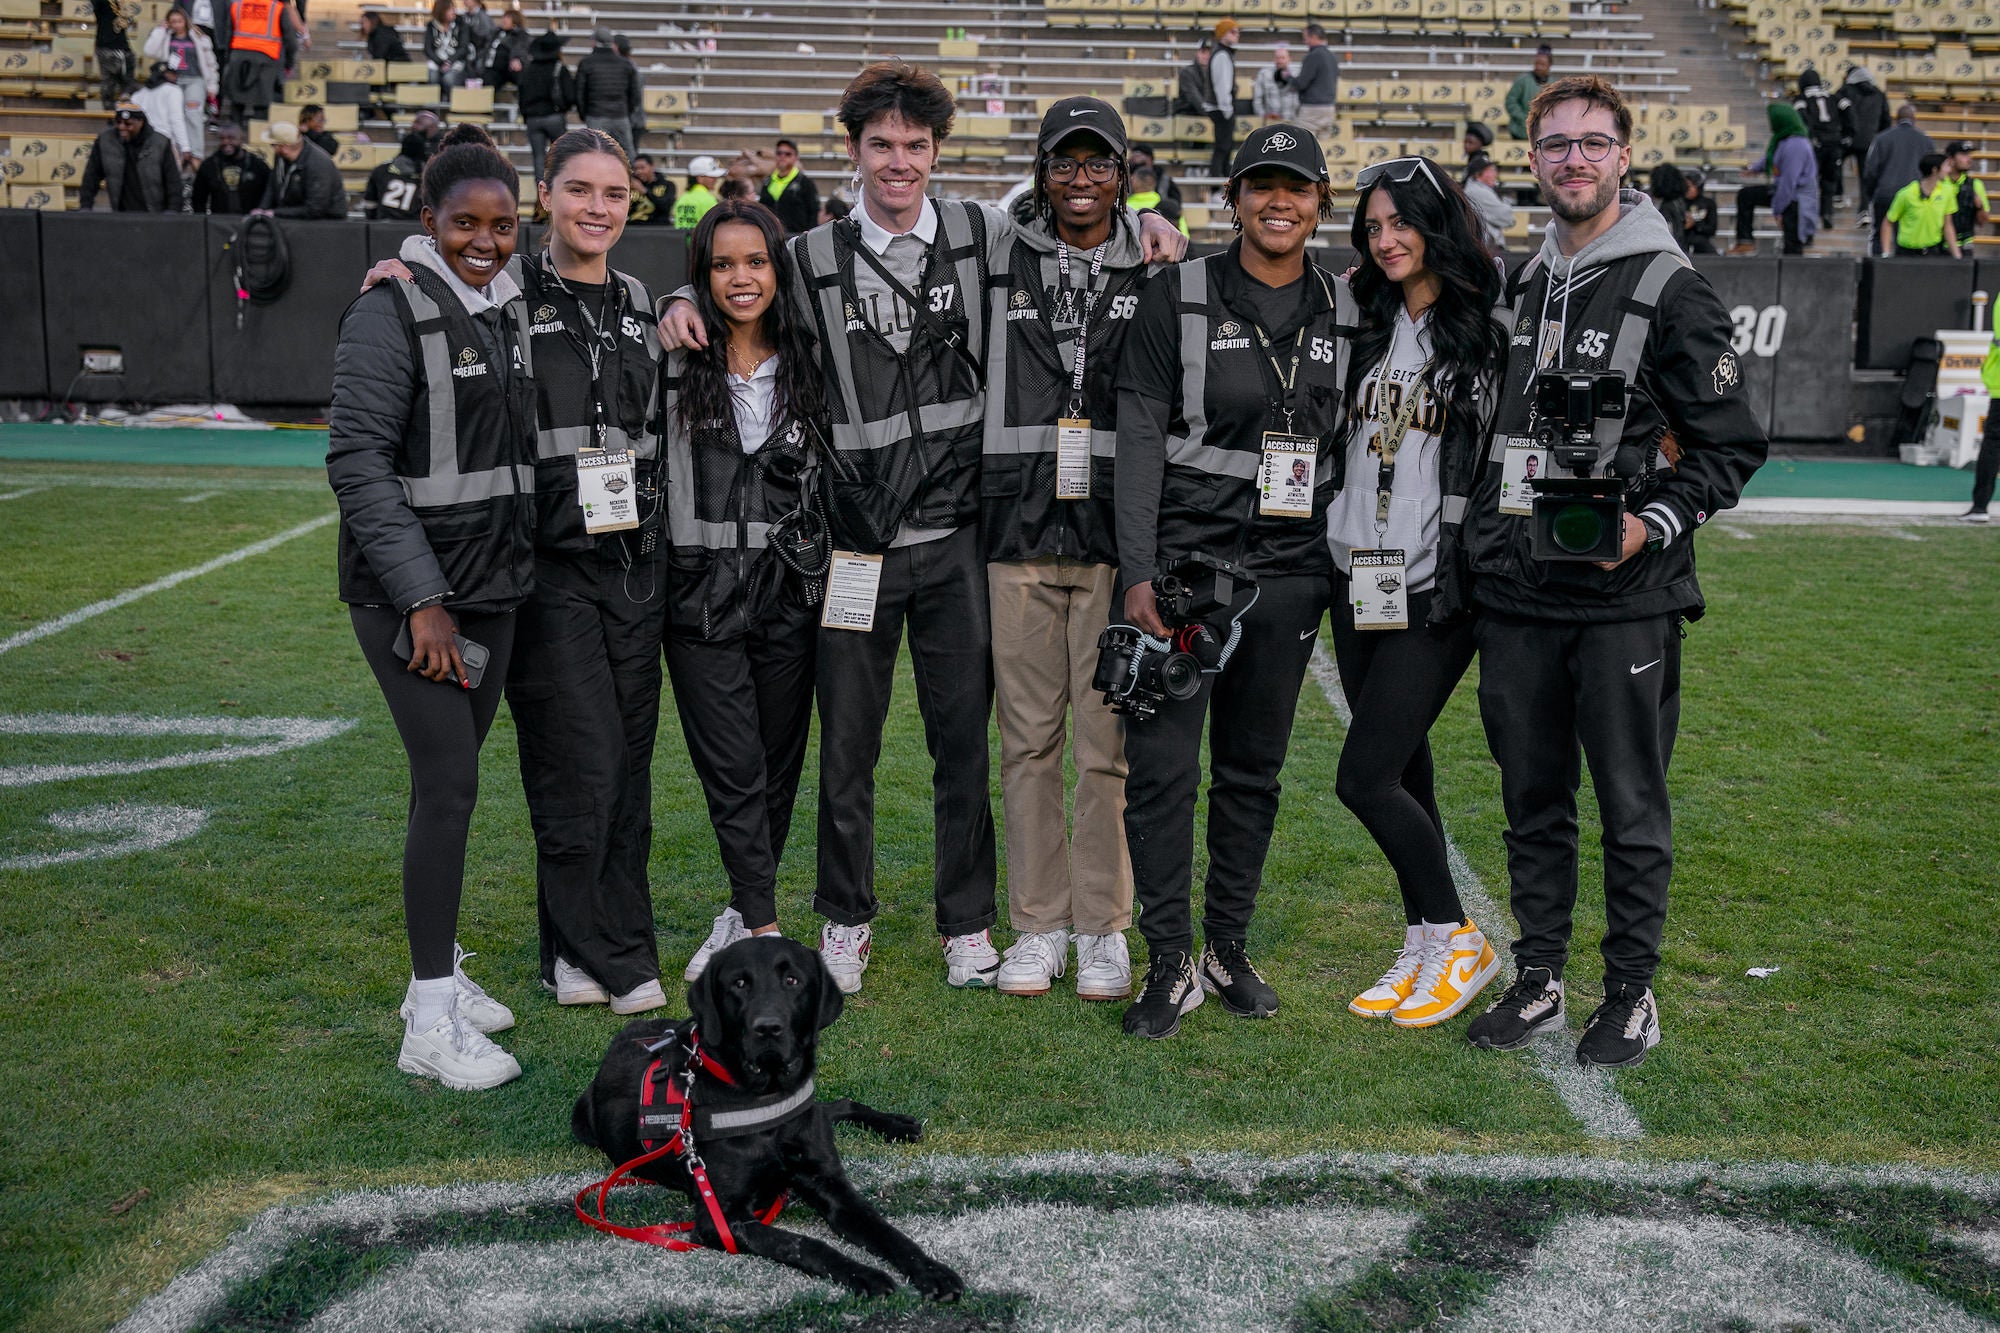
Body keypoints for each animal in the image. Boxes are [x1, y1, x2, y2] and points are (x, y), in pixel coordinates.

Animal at [572, 928, 968, 1288]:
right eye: (739, 984)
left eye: (792, 980)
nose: (768, 1028)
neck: (767, 1102)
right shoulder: (721, 1219)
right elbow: (805, 1244)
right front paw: (865, 1275)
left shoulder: (833, 1187)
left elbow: (887, 1232)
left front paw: (932, 1271)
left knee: (834, 1106)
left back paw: (897, 1125)